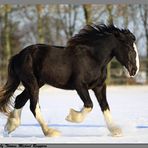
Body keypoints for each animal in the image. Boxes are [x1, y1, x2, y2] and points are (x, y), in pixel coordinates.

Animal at [0, 24, 139, 136]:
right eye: (129, 47)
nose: (134, 70)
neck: (93, 58)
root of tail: (18, 55)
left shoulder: (99, 86)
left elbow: (105, 106)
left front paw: (116, 131)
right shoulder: (80, 85)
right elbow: (89, 105)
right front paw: (71, 116)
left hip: (36, 83)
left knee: (20, 100)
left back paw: (11, 126)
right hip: (32, 83)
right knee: (33, 106)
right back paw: (50, 132)